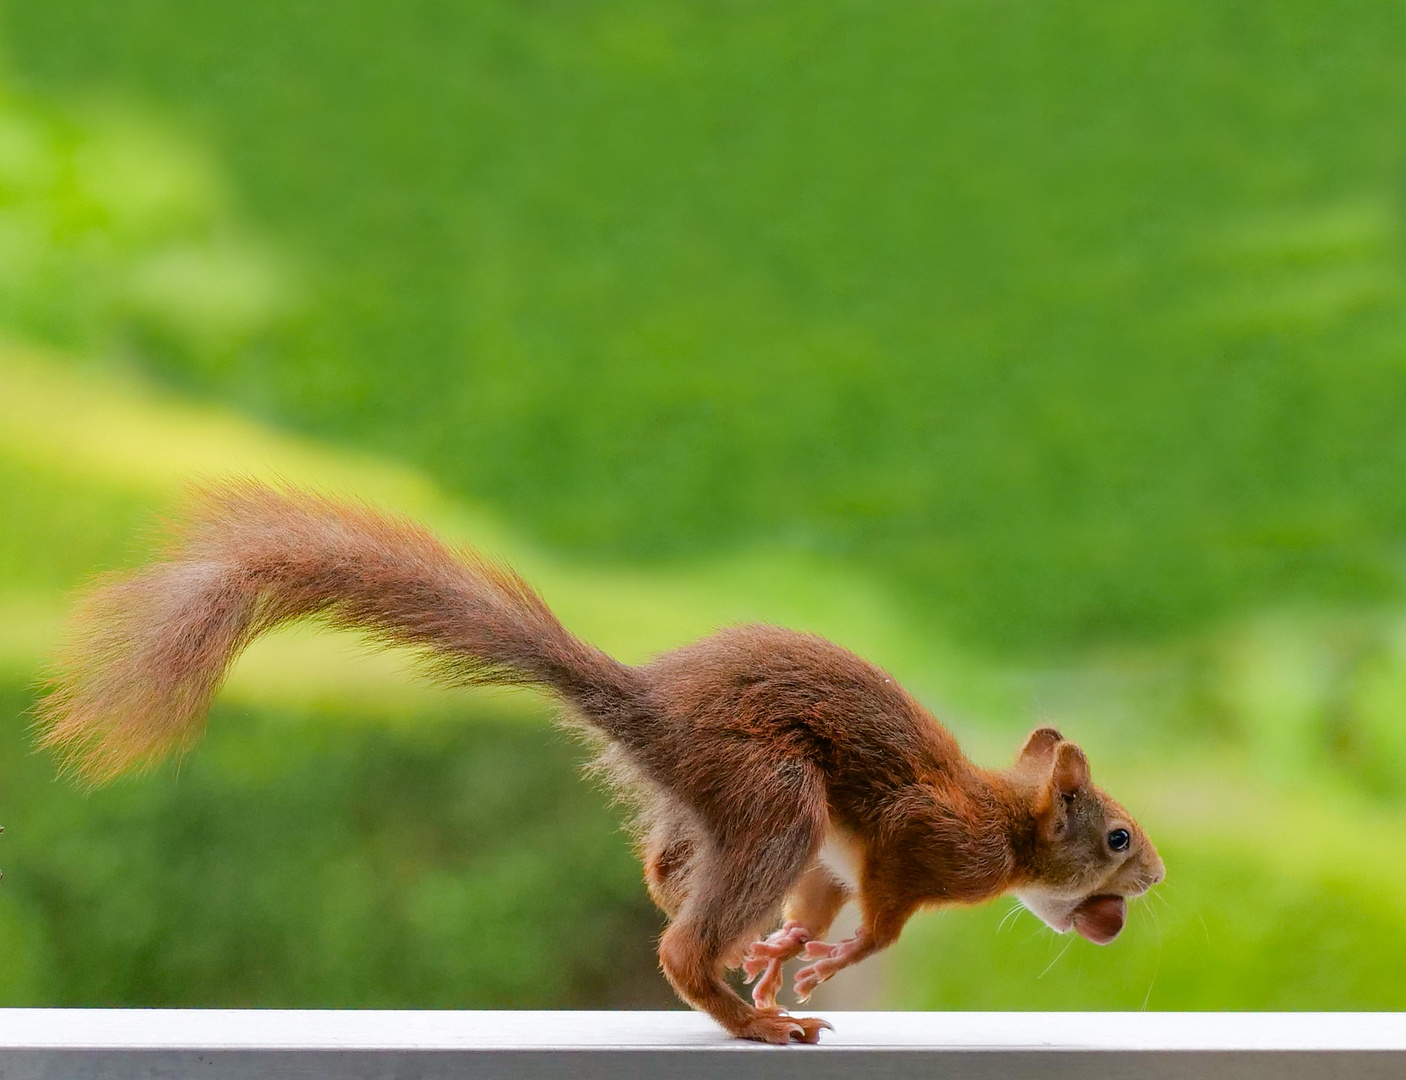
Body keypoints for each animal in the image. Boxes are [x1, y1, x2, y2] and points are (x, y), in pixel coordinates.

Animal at [41, 483, 1164, 1040]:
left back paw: (736, 954)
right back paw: (742, 1011)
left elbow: (816, 906)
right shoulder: (916, 841)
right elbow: (879, 918)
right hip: (778, 797)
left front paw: (788, 953)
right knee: (681, 938)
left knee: (667, 873)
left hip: (724, 809)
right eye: (1117, 836)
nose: (1153, 877)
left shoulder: (839, 863)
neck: (1009, 825)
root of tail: (652, 710)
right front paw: (829, 963)